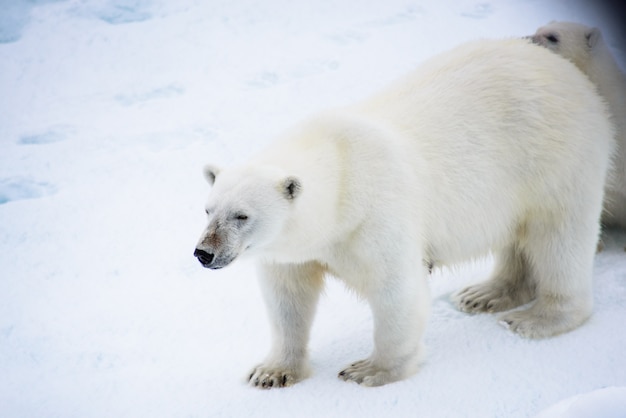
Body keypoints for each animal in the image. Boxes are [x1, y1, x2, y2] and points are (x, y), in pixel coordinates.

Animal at [193, 37, 612, 386]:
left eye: (242, 215)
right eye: (208, 209)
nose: (203, 253)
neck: (342, 172)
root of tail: (568, 71)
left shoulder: (376, 215)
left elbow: (395, 289)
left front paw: (368, 370)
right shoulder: (294, 252)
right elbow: (287, 299)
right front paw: (271, 372)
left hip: (553, 159)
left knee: (559, 236)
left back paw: (537, 318)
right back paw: (484, 294)